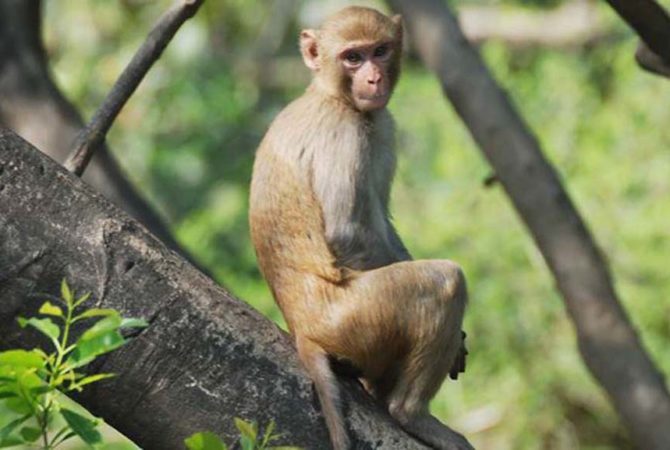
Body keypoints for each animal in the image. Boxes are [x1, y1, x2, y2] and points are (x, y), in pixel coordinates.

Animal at [249, 6, 471, 450]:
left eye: (380, 51)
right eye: (353, 57)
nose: (374, 78)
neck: (331, 95)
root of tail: (302, 328)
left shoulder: (382, 125)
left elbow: (382, 219)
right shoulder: (344, 134)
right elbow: (346, 232)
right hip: (355, 322)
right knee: (445, 281)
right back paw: (409, 413)